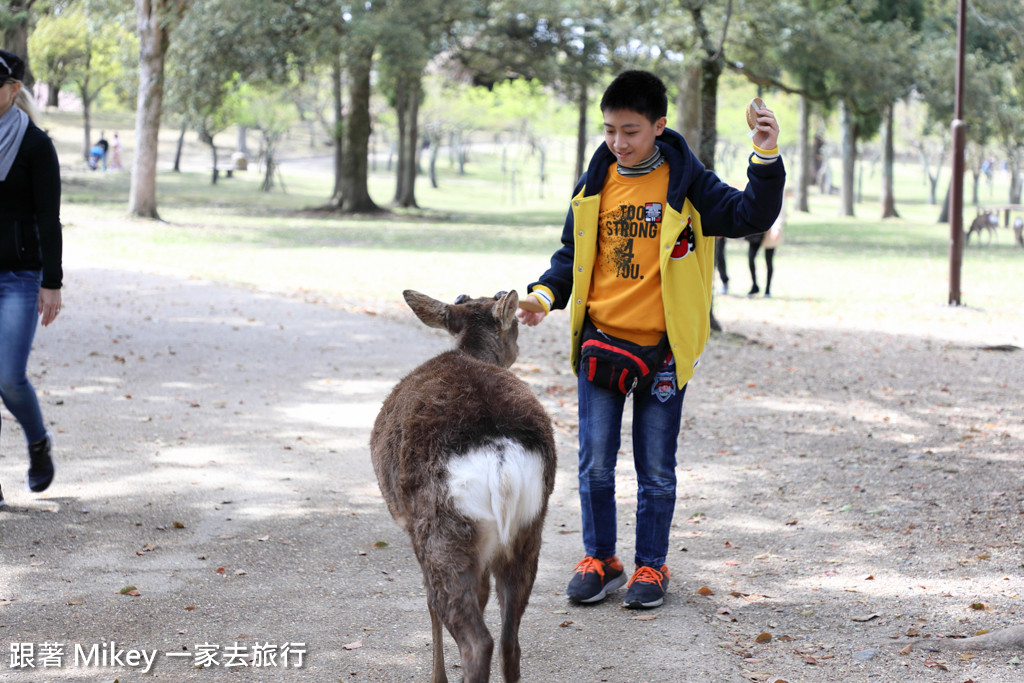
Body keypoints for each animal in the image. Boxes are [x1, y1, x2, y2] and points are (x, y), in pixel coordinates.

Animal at [370, 290, 557, 683]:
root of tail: (500, 455)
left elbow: (429, 604)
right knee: (510, 641)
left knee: (476, 639)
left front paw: (436, 676)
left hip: (441, 530)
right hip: (528, 529)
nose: (517, 348)